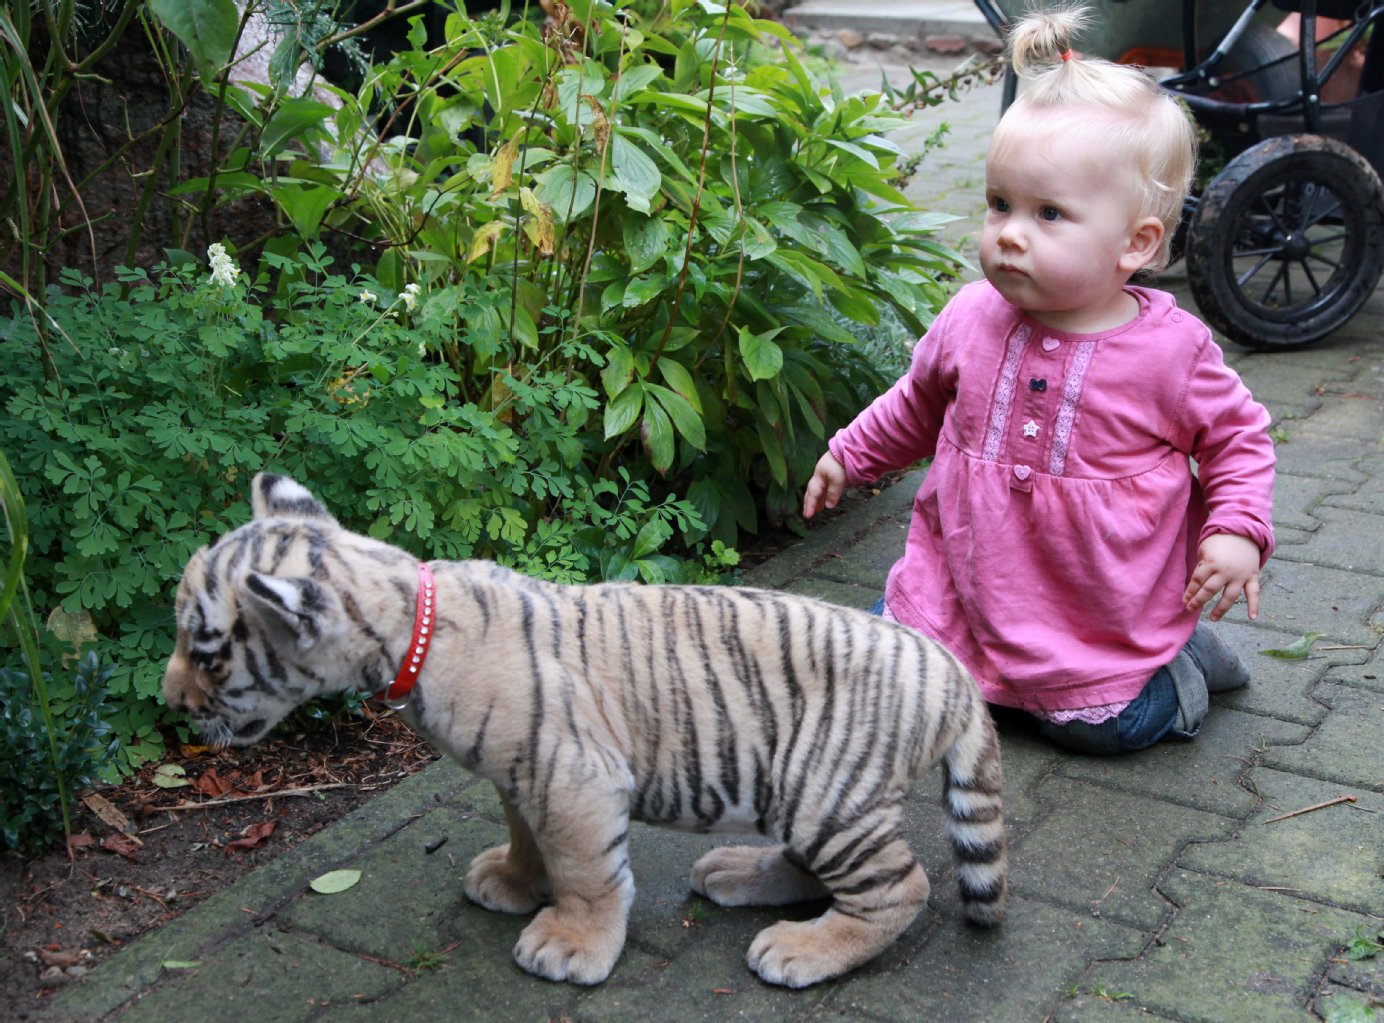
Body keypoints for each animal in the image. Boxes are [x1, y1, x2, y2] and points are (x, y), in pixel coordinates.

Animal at [163, 472, 1008, 988]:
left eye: (205, 651)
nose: (170, 699)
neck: (409, 619)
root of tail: (952, 670)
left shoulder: (574, 779)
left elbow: (586, 870)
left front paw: (570, 944)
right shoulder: (521, 772)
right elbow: (527, 837)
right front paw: (510, 881)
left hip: (828, 792)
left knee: (899, 886)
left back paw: (800, 948)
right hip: (806, 795)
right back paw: (736, 872)